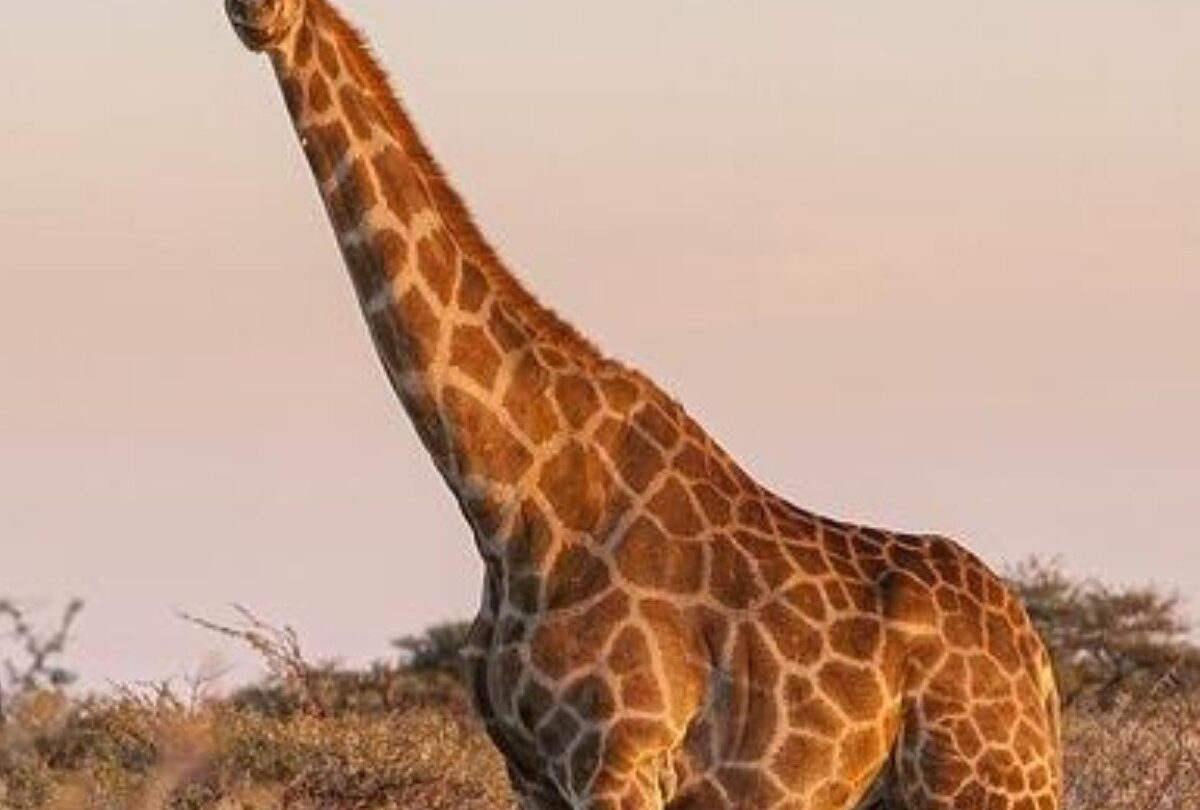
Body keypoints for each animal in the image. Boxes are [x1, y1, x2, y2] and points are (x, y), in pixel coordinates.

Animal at [222, 2, 1064, 809]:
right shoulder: (533, 776)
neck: (511, 501)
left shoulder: (620, 759)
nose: (255, 13)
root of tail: (1039, 664)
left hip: (984, 781)